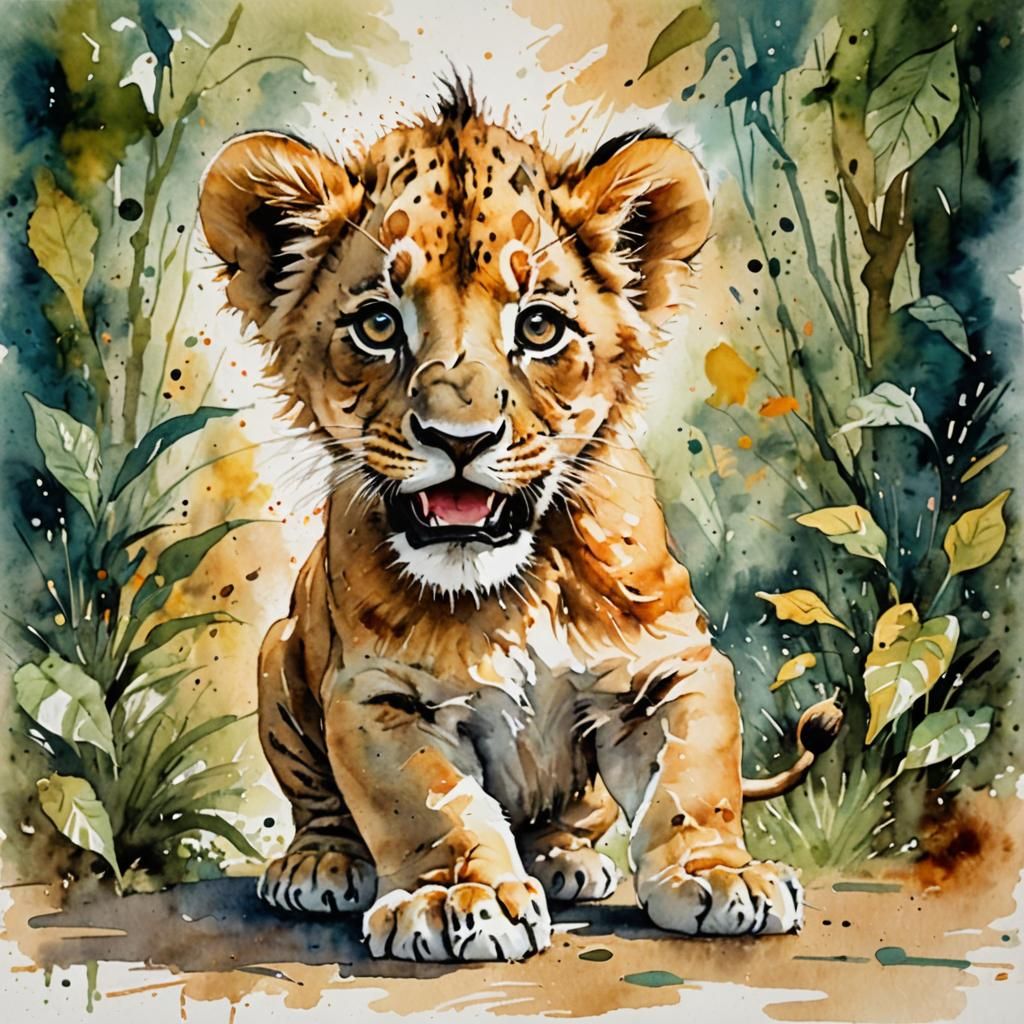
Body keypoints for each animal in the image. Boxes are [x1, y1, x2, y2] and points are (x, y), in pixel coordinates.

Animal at [198, 80, 842, 962]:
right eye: (378, 324)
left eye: (538, 327)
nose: (459, 440)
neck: (513, 588)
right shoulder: (375, 696)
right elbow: (430, 802)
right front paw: (454, 894)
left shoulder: (674, 666)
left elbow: (694, 778)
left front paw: (720, 875)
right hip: (280, 657)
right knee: (320, 802)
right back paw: (320, 863)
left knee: (578, 818)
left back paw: (568, 860)